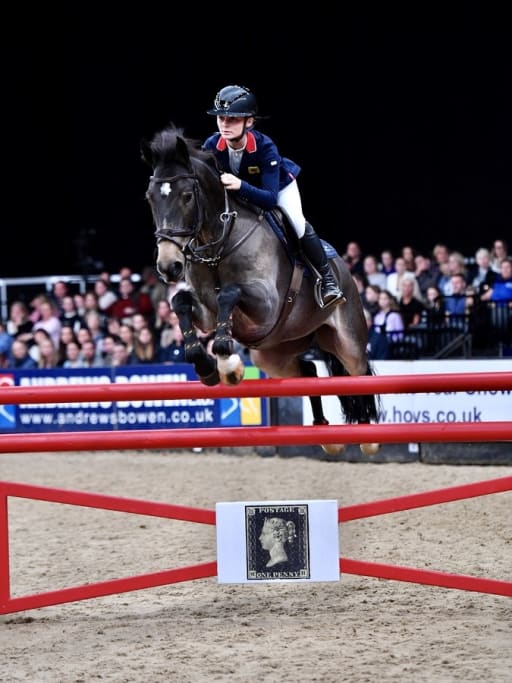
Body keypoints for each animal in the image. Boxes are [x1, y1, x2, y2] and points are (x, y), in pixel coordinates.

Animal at [140, 124, 380, 454]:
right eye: (150, 198)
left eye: (187, 196)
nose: (168, 266)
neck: (219, 243)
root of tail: (345, 272)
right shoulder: (206, 311)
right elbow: (182, 303)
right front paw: (205, 363)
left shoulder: (266, 305)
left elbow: (229, 293)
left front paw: (226, 359)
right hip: (274, 354)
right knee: (308, 372)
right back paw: (324, 432)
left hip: (348, 339)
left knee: (359, 372)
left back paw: (368, 437)